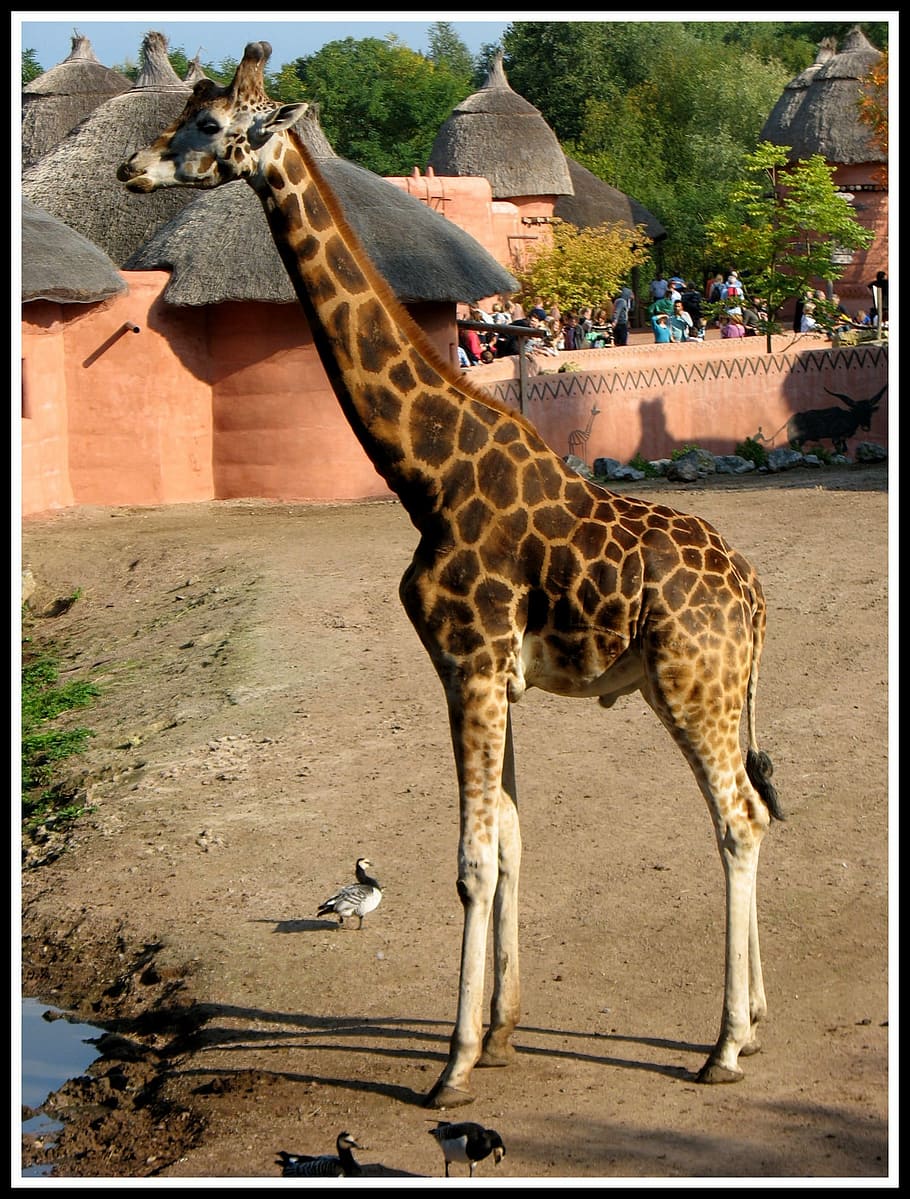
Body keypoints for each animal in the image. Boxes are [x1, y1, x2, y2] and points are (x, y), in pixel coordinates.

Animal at [118, 42, 784, 1110]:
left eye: (213, 127)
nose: (130, 170)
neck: (425, 473)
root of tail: (757, 598)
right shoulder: (492, 674)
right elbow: (510, 838)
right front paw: (504, 1031)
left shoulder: (467, 662)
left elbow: (471, 860)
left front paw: (453, 1065)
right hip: (705, 687)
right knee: (750, 812)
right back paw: (753, 1023)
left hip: (694, 683)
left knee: (737, 819)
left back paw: (721, 1046)